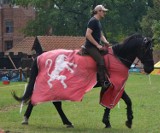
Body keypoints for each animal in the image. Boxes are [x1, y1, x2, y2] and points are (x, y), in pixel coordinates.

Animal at [11, 33, 154, 128]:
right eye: (147, 50)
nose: (150, 68)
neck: (118, 57)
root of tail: (39, 56)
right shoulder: (114, 85)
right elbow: (123, 101)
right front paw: (126, 121)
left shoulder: (110, 87)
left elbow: (117, 102)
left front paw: (110, 121)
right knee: (48, 101)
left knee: (42, 100)